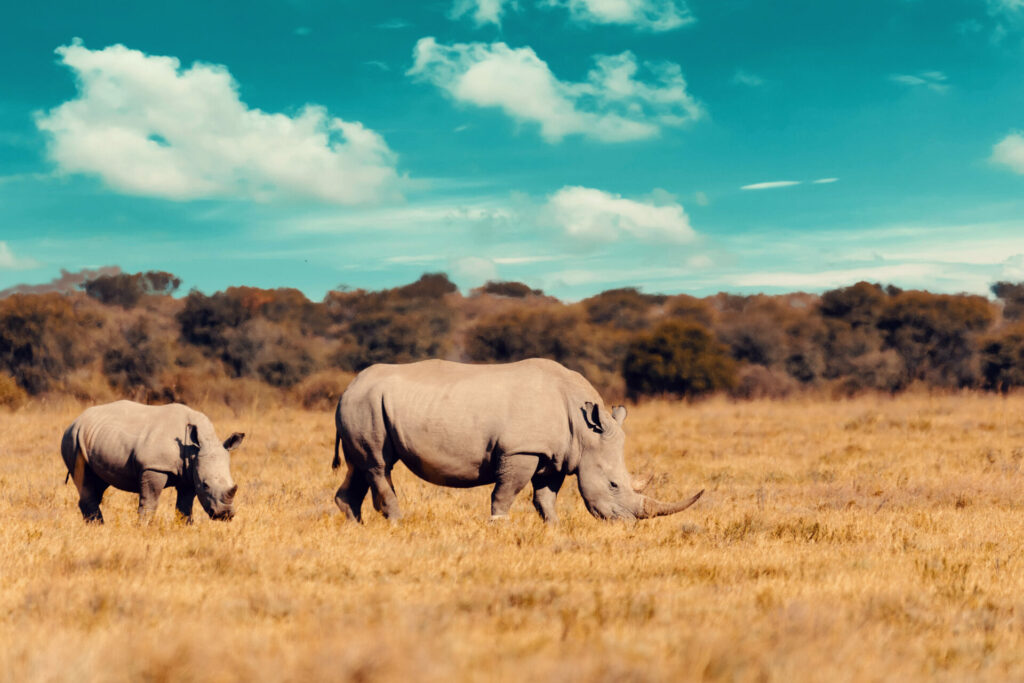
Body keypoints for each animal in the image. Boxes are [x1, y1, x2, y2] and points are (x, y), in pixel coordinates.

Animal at [60, 401, 243, 524]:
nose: (224, 515)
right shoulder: (154, 467)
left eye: (233, 483)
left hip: (95, 437)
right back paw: (98, 526)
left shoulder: (190, 472)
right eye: (205, 485)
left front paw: (184, 528)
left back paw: (97, 525)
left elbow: (184, 506)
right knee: (86, 479)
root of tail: (75, 421)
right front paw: (143, 528)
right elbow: (150, 500)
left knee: (98, 483)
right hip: (73, 438)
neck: (196, 447)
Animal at [333, 358, 704, 524]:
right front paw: (499, 526)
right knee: (379, 465)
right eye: (613, 484)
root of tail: (347, 387)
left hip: (362, 404)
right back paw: (397, 522)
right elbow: (505, 493)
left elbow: (546, 497)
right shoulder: (521, 449)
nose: (626, 524)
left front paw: (553, 528)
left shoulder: (556, 455)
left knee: (360, 467)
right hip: (366, 404)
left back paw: (355, 527)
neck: (584, 430)